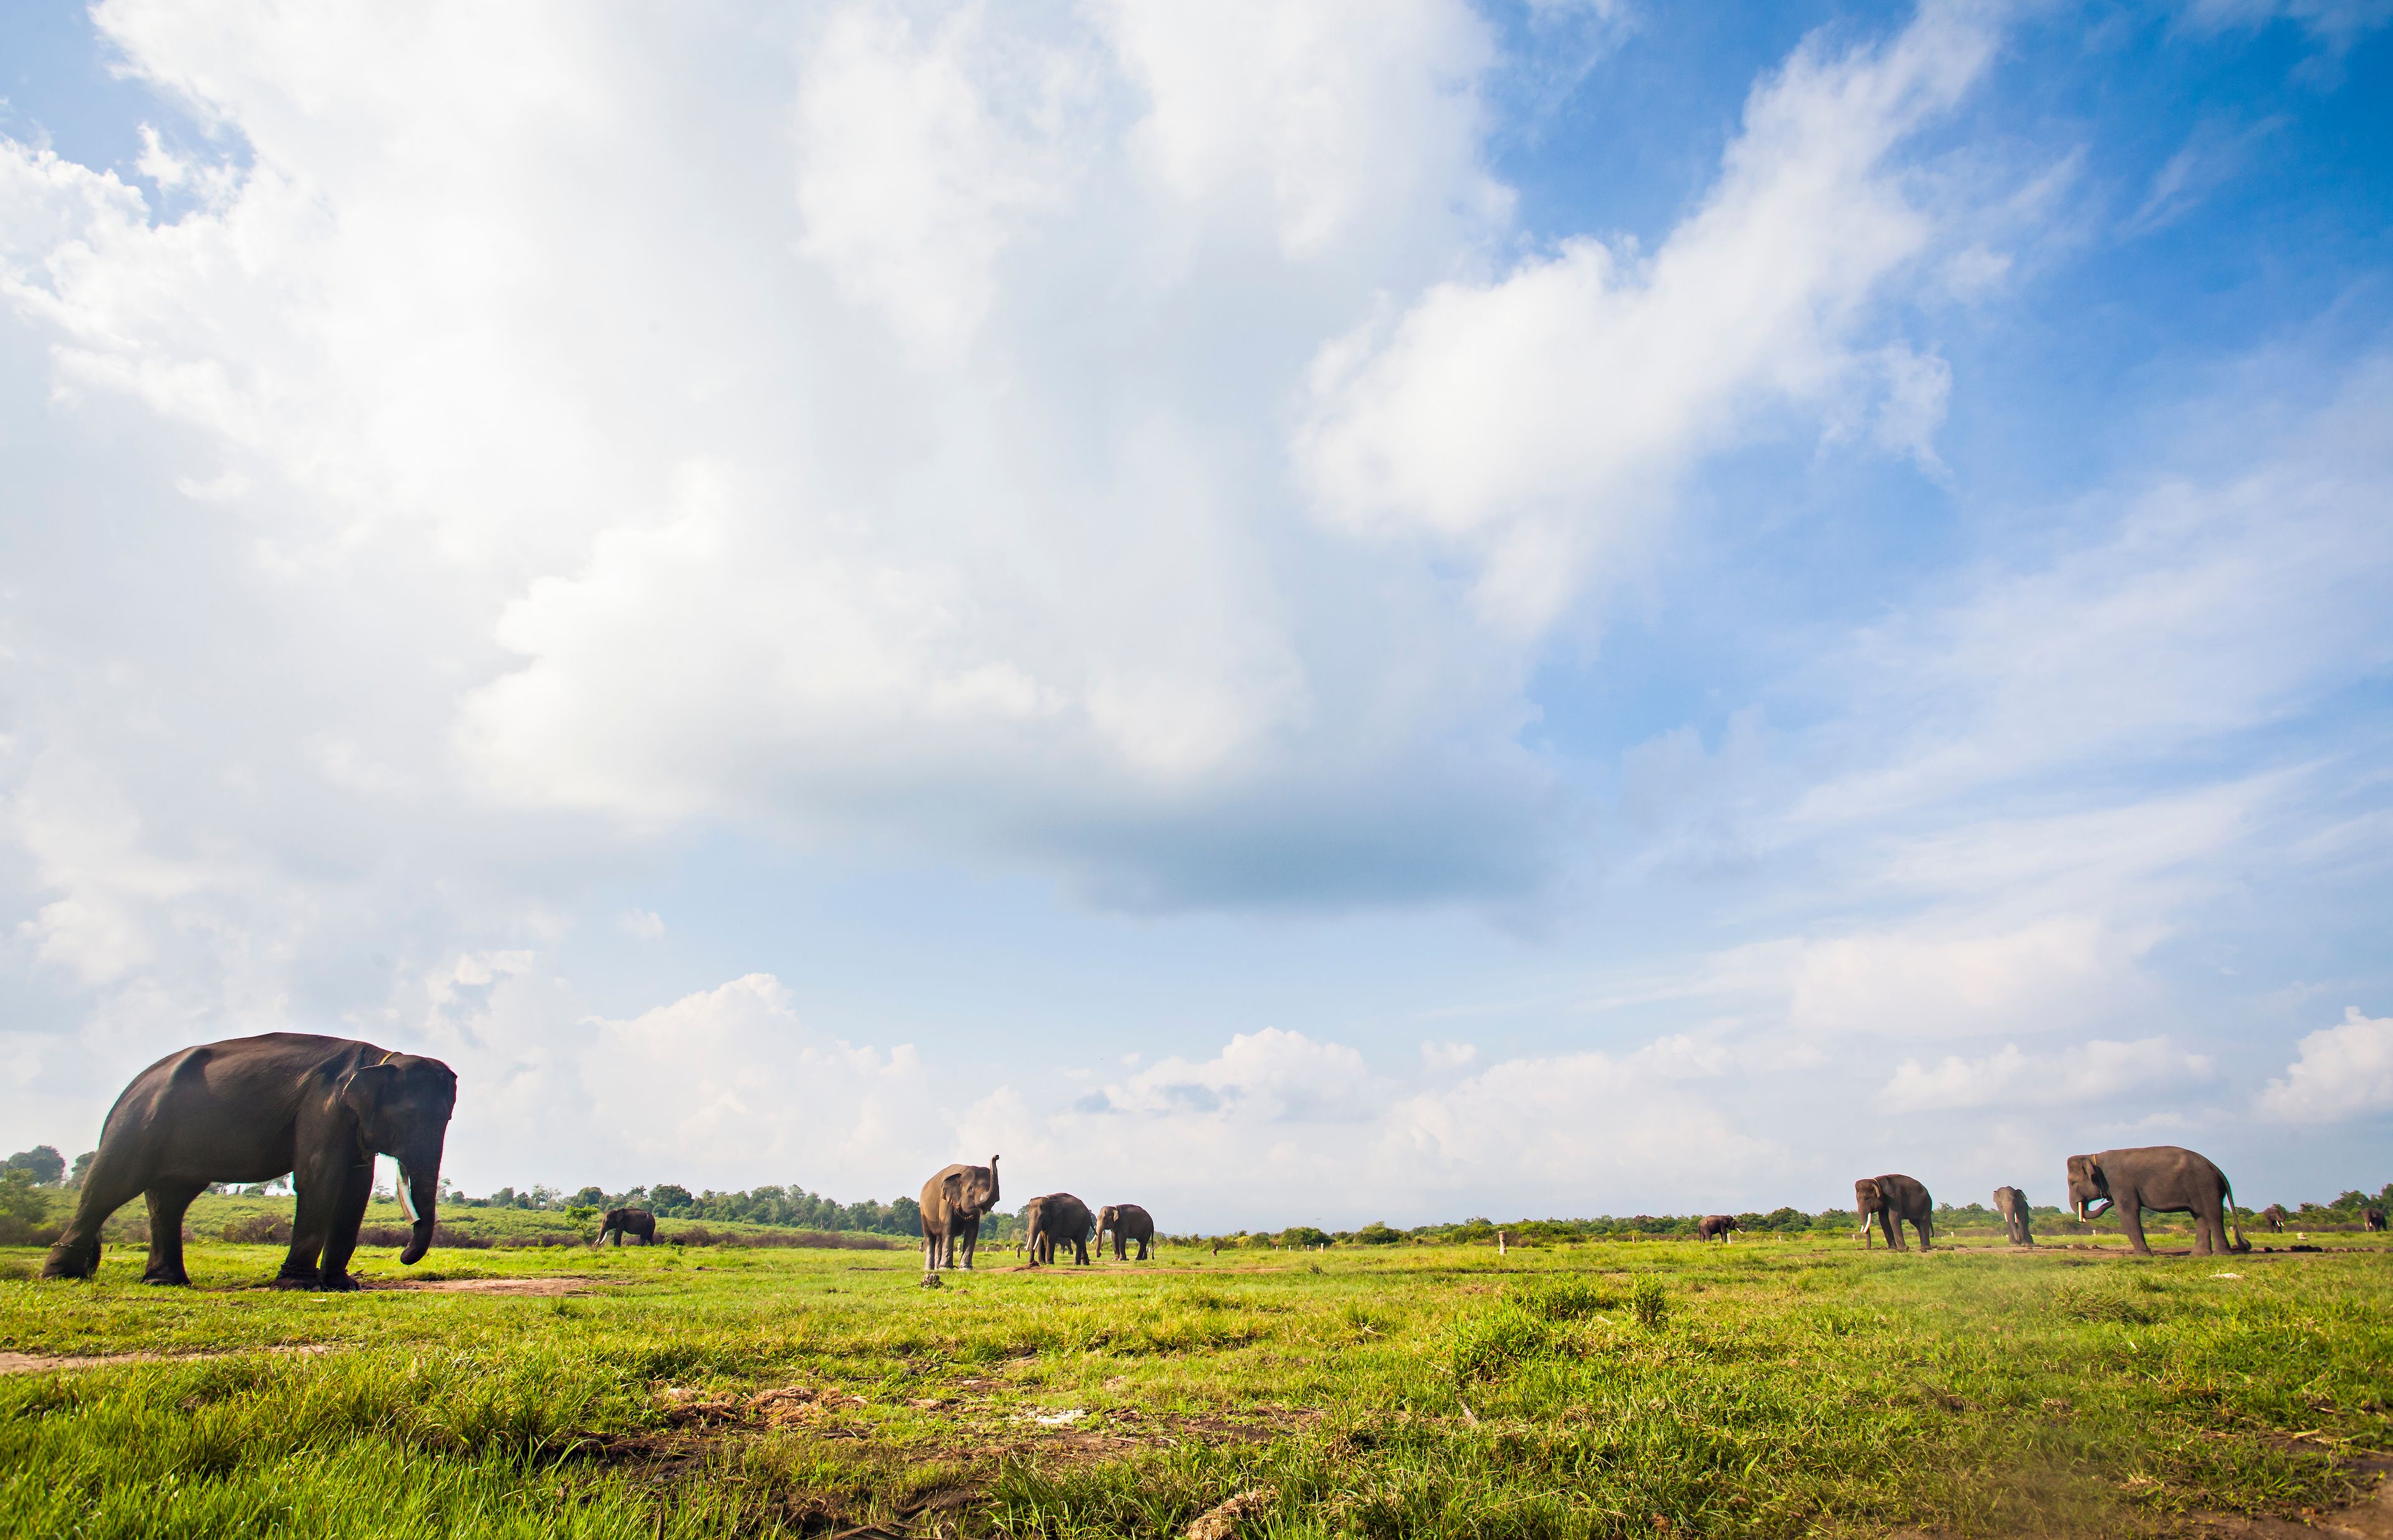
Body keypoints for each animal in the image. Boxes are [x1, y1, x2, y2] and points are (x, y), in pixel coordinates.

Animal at [42, 1033, 455, 1290]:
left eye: (447, 1118)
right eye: (408, 1116)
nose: (403, 1256)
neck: (380, 1058)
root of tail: (131, 1088)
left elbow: (356, 1189)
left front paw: (343, 1286)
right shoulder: (323, 1109)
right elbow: (319, 1178)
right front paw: (299, 1285)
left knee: (168, 1199)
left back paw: (165, 1281)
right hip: (137, 1126)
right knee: (111, 1185)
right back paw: (61, 1276)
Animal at [919, 1156, 1000, 1272]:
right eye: (970, 1189)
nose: (997, 1156)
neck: (963, 1171)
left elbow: (973, 1231)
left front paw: (965, 1269)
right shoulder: (945, 1203)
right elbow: (949, 1228)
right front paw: (945, 1269)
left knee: (939, 1238)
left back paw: (936, 1268)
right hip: (923, 1212)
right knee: (930, 1238)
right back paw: (929, 1269)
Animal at [2064, 1146, 2248, 1256]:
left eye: (2073, 1183)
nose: (2107, 1200)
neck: (2092, 1157)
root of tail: (2215, 1168)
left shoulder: (2120, 1183)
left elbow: (2127, 1211)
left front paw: (2141, 1255)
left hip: (2205, 1185)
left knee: (2212, 1215)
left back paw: (2221, 1254)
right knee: (2201, 1216)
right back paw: (2199, 1255)